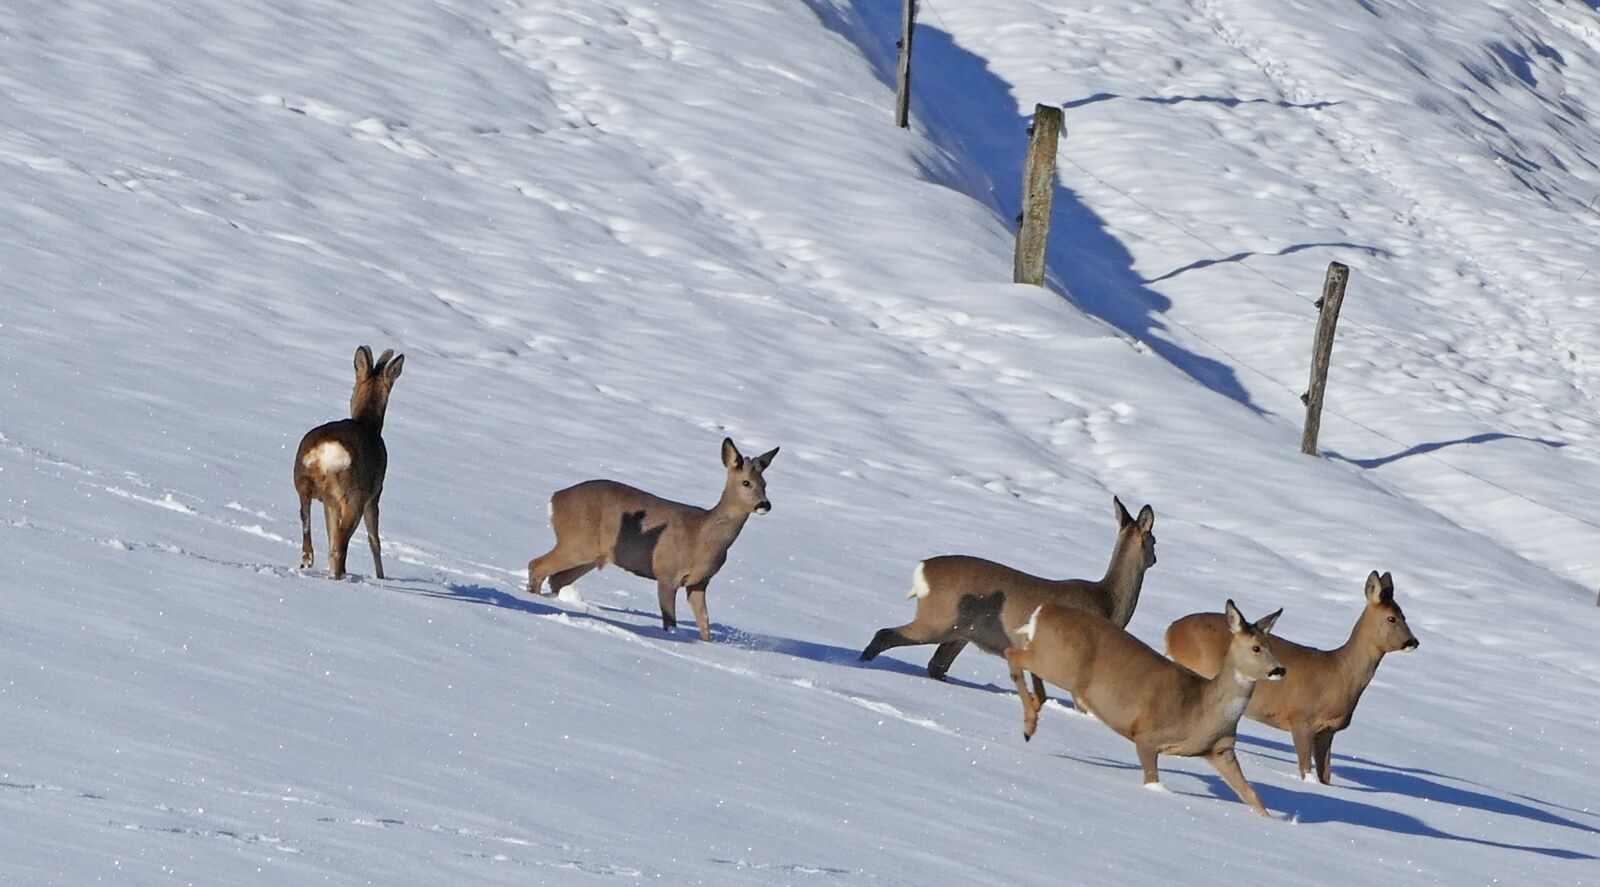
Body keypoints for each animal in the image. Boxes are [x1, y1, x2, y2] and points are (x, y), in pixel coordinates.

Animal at [294, 345, 405, 580]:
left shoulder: (330, 502)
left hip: (304, 482)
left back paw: (308, 562)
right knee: (341, 545)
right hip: (354, 496)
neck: (369, 424)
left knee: (308, 525)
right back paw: (340, 575)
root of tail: (327, 451)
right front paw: (381, 577)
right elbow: (374, 540)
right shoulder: (375, 493)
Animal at [526, 437, 778, 642]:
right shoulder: (667, 573)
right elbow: (670, 621)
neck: (702, 535)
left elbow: (705, 625)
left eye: (765, 484)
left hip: (590, 555)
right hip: (576, 542)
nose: (765, 504)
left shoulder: (699, 582)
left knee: (556, 579)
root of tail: (555, 499)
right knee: (537, 565)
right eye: (746, 482)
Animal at [858, 496, 1156, 683]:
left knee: (936, 665)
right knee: (886, 634)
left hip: (962, 632)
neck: (1108, 602)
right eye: (1154, 540)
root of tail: (922, 570)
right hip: (939, 619)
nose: (1155, 558)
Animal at [1006, 600, 1285, 817]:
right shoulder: (1147, 737)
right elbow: (1152, 780)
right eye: (1256, 648)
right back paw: (1028, 726)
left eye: (1271, 646)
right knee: (1012, 653)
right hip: (1059, 665)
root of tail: (1043, 610)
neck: (1202, 708)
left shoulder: (1221, 749)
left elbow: (1251, 794)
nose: (1279, 670)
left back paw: (1035, 707)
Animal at [1164, 571, 1418, 784]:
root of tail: (1170, 632)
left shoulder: (1327, 730)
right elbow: (1306, 770)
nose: (1413, 642)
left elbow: (1325, 776)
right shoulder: (1301, 718)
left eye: (1405, 615)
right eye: (1392, 618)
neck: (1338, 673)